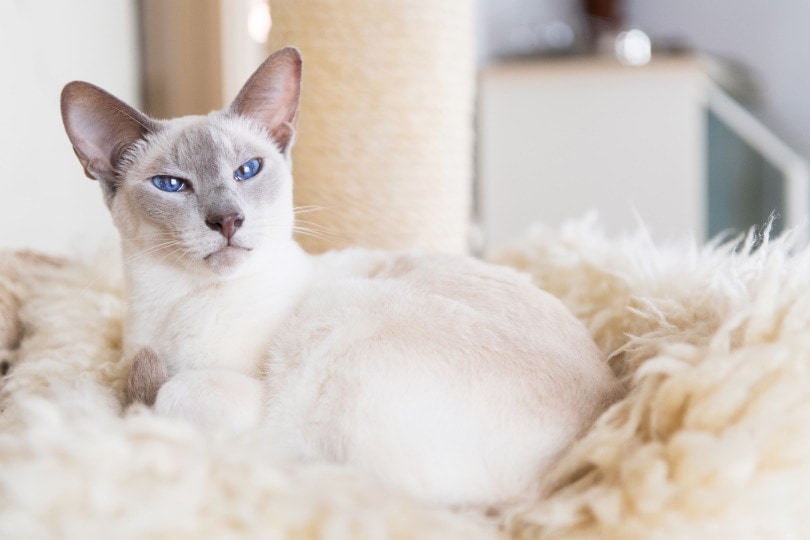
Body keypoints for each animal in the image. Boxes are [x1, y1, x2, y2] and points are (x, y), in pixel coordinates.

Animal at [61, 45, 620, 506]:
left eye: (248, 171)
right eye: (171, 185)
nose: (228, 220)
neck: (178, 303)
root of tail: (567, 474)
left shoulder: (238, 397)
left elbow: (174, 393)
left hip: (338, 318)